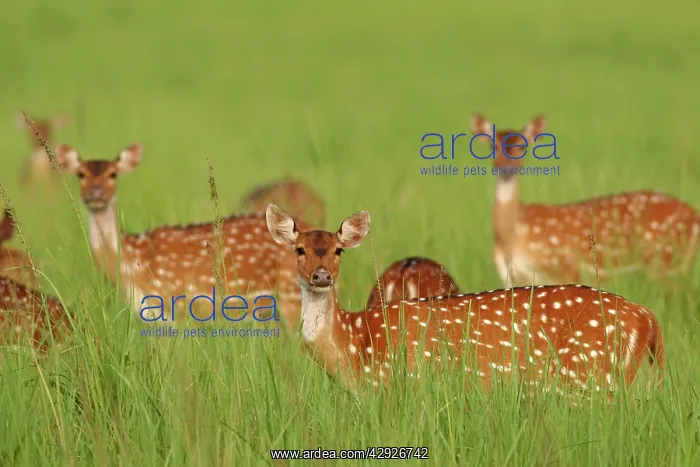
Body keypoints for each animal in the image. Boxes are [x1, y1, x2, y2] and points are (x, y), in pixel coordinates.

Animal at [53, 143, 307, 332]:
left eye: (113, 174)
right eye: (81, 174)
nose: (95, 194)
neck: (131, 263)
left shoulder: (173, 304)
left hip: (291, 296)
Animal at [266, 203, 665, 398]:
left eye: (338, 250)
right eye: (299, 249)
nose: (321, 276)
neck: (354, 345)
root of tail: (647, 317)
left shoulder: (410, 383)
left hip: (592, 374)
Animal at [470, 113, 700, 288]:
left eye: (522, 147)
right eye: (492, 146)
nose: (506, 167)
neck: (511, 237)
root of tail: (695, 215)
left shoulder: (564, 268)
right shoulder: (510, 277)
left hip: (668, 261)